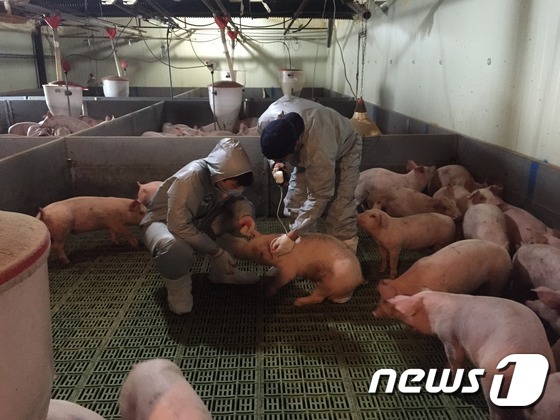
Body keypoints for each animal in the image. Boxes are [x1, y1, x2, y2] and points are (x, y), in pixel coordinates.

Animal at [231, 230, 366, 306]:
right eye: (250, 242)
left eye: (258, 251)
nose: (237, 250)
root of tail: (360, 277)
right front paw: (260, 284)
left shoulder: (289, 268)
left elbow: (282, 279)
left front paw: (266, 295)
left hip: (332, 282)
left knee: (319, 297)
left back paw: (298, 302)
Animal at [378, 290, 556, 420]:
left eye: (400, 309)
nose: (375, 312)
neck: (434, 312)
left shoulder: (449, 336)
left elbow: (454, 357)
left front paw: (449, 378)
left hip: (493, 377)